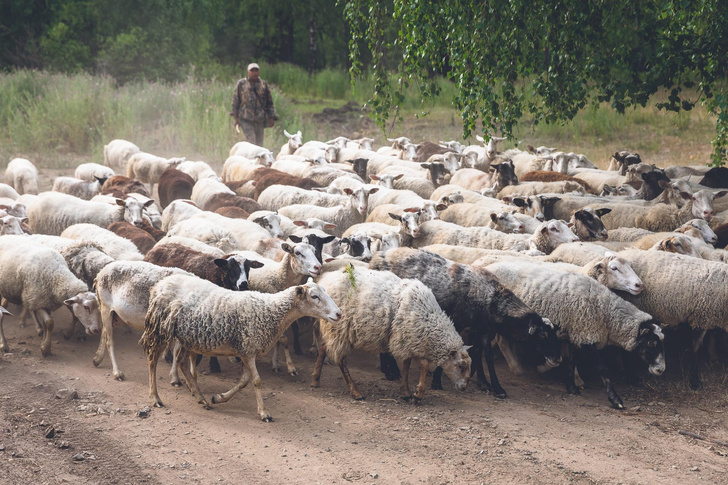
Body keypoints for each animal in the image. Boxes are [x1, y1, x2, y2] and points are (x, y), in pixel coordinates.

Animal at [312, 264, 472, 400]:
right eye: (461, 366)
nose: (464, 388)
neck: (429, 318)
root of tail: (326, 279)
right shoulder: (406, 340)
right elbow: (424, 365)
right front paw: (418, 393)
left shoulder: (408, 341)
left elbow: (407, 366)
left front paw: (406, 392)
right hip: (338, 329)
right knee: (341, 360)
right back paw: (355, 391)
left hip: (333, 329)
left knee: (324, 348)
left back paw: (315, 379)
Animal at [370, 250, 564, 398]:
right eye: (542, 334)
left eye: (554, 335)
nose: (557, 359)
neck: (491, 300)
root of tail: (378, 256)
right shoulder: (458, 323)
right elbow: (454, 350)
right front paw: (437, 381)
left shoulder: (484, 332)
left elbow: (486, 357)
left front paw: (496, 387)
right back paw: (391, 371)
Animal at [486, 260, 664, 406]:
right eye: (651, 342)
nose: (661, 370)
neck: (607, 312)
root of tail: (489, 266)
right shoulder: (586, 335)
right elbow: (602, 369)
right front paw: (615, 400)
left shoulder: (576, 333)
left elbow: (572, 361)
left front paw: (571, 386)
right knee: (501, 341)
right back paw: (516, 368)